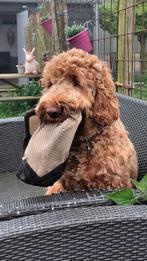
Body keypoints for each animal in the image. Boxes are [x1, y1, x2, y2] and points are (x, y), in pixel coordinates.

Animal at [35, 47, 138, 194]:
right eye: (50, 84)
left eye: (76, 81)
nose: (51, 111)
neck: (86, 141)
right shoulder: (66, 183)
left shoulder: (115, 183)